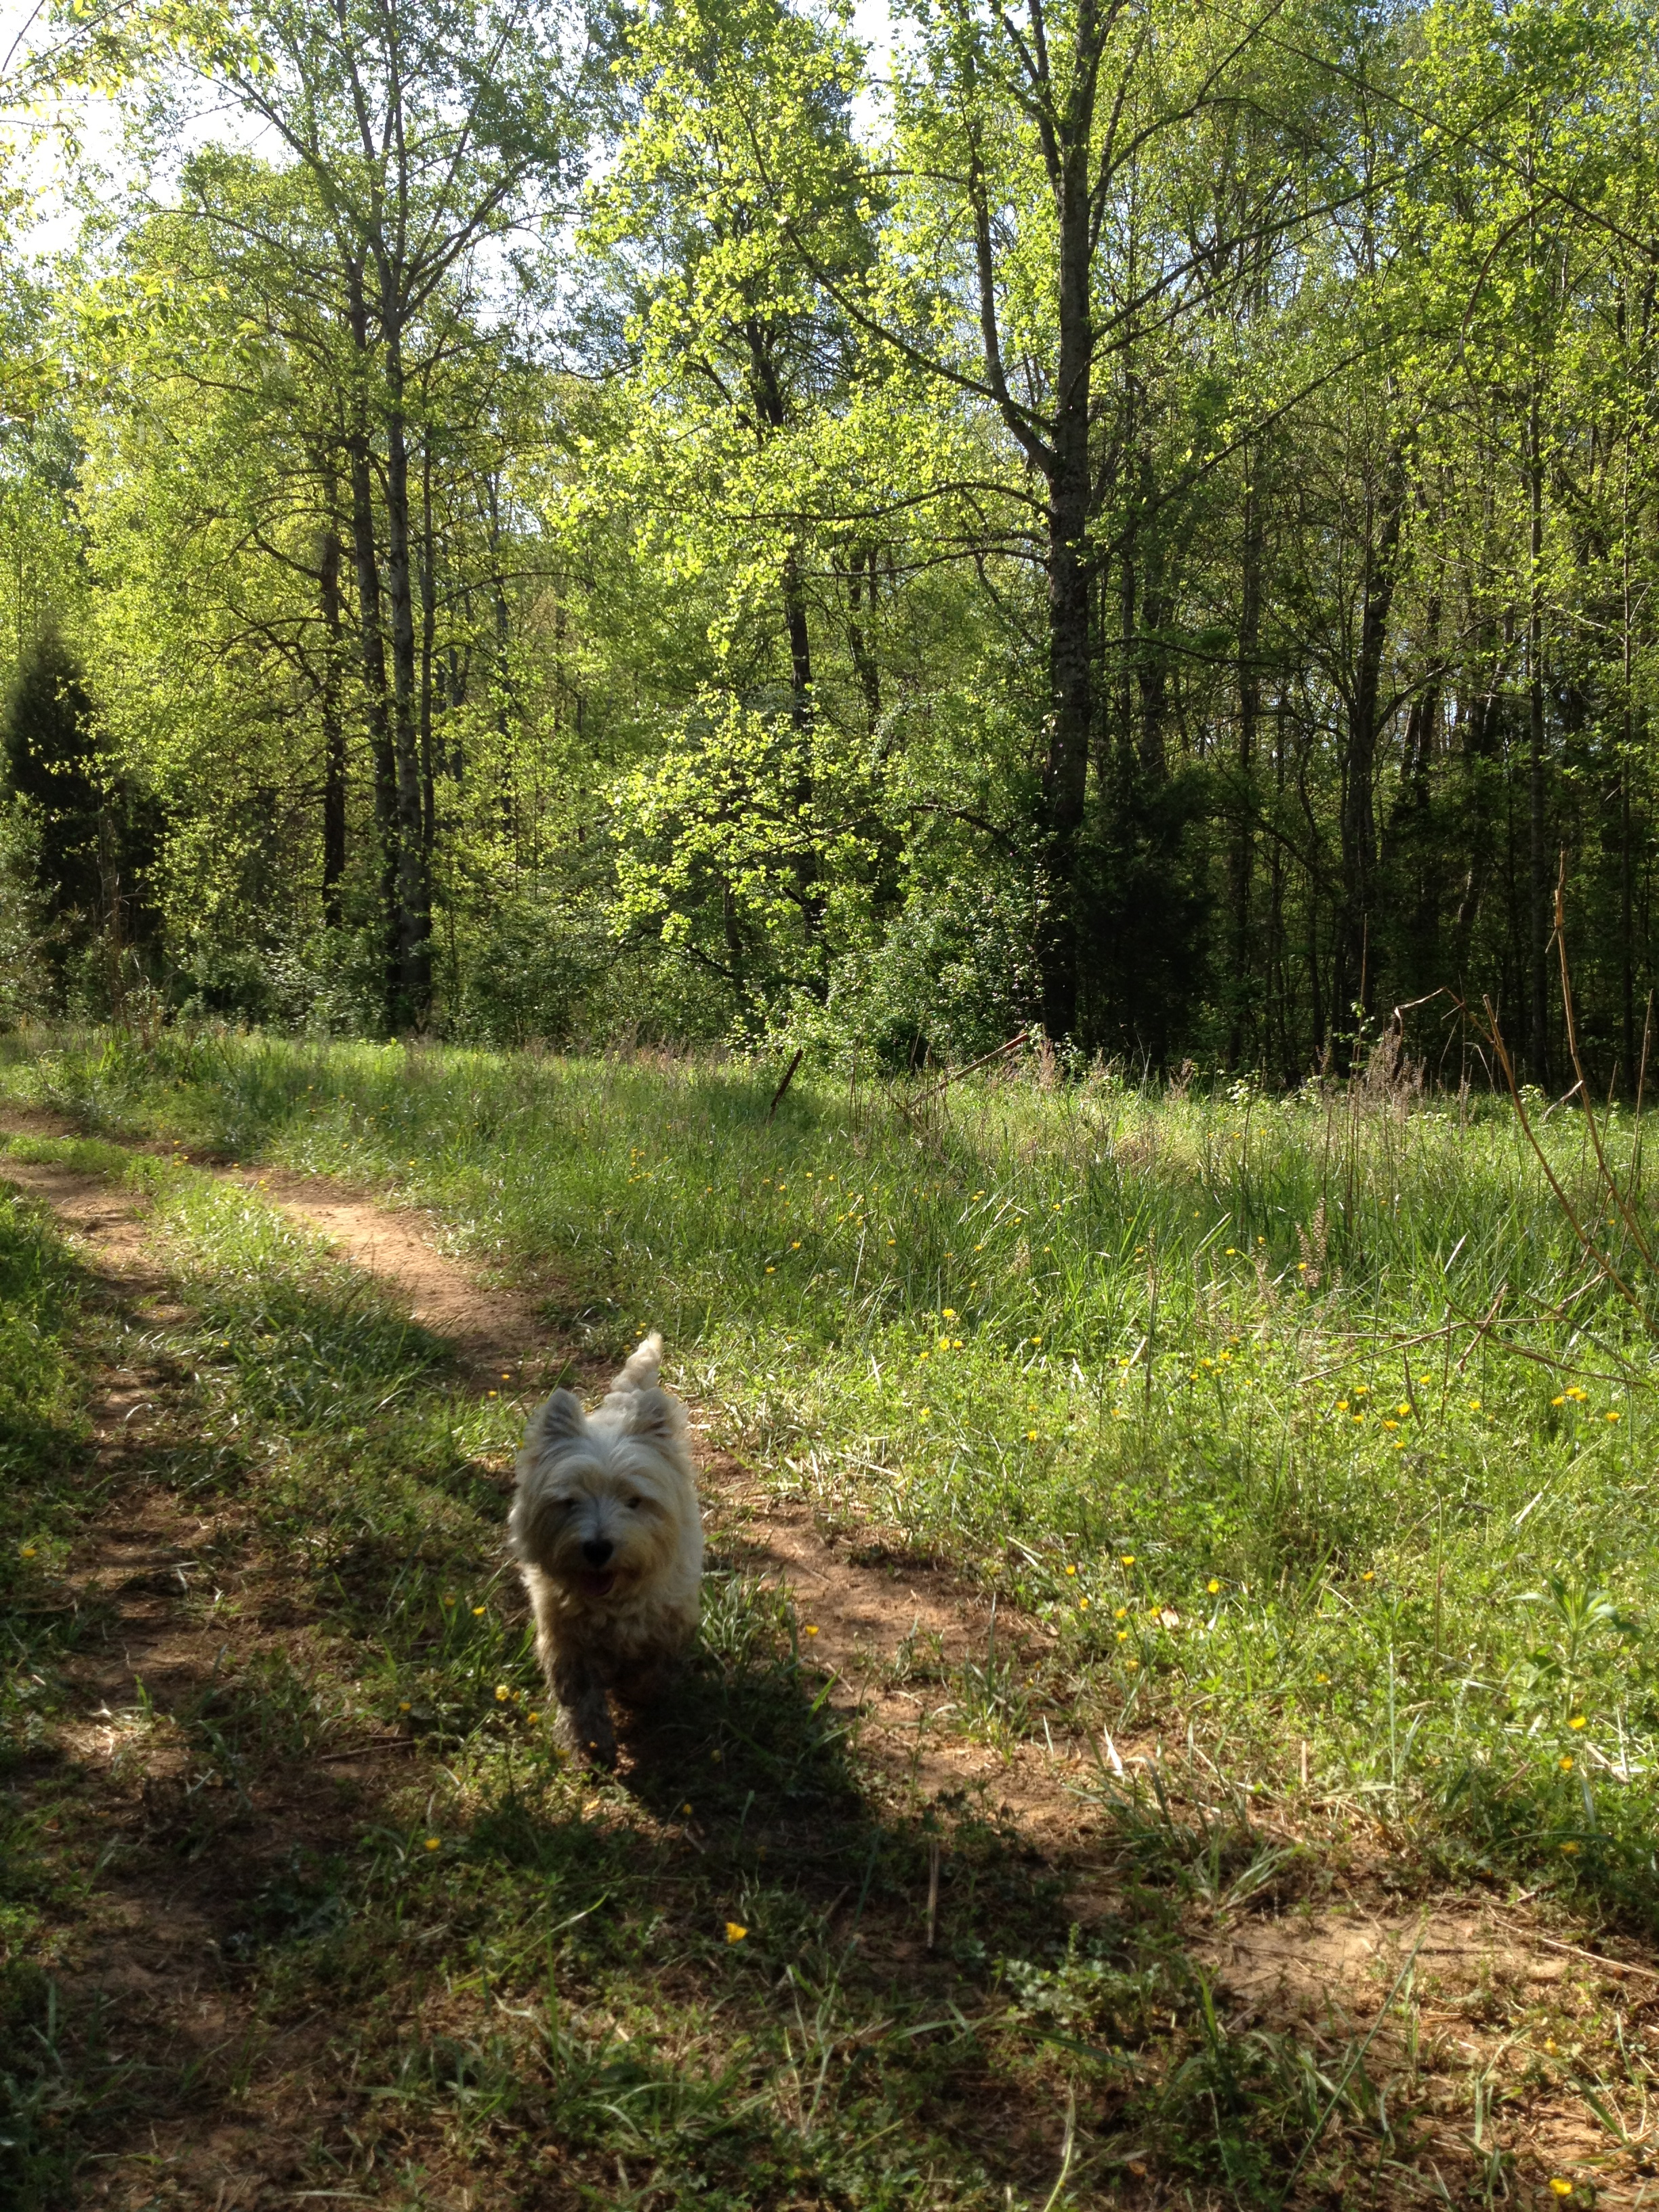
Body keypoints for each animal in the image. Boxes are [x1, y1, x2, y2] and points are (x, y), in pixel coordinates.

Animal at [509, 1332, 702, 1766]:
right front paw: (593, 1741)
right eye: (569, 1502)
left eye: (634, 1501)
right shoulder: (564, 1637)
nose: (597, 1548)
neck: (613, 1600)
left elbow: (651, 1669)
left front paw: (638, 1693)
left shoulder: (668, 1620)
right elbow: (580, 1693)